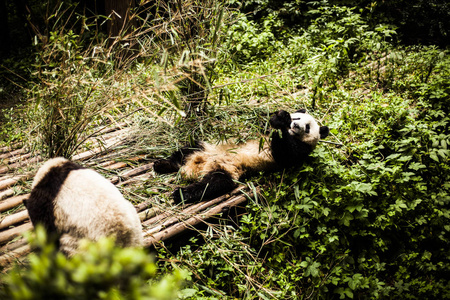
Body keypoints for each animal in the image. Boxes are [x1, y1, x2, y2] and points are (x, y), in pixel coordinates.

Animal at [153, 108, 328, 204]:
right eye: (297, 117)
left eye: (307, 128)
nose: (295, 125)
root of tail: (193, 169)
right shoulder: (260, 130)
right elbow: (261, 123)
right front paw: (280, 117)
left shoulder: (299, 151)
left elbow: (285, 151)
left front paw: (281, 124)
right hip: (207, 147)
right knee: (187, 149)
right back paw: (162, 164)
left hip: (225, 168)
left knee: (213, 184)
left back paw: (181, 193)